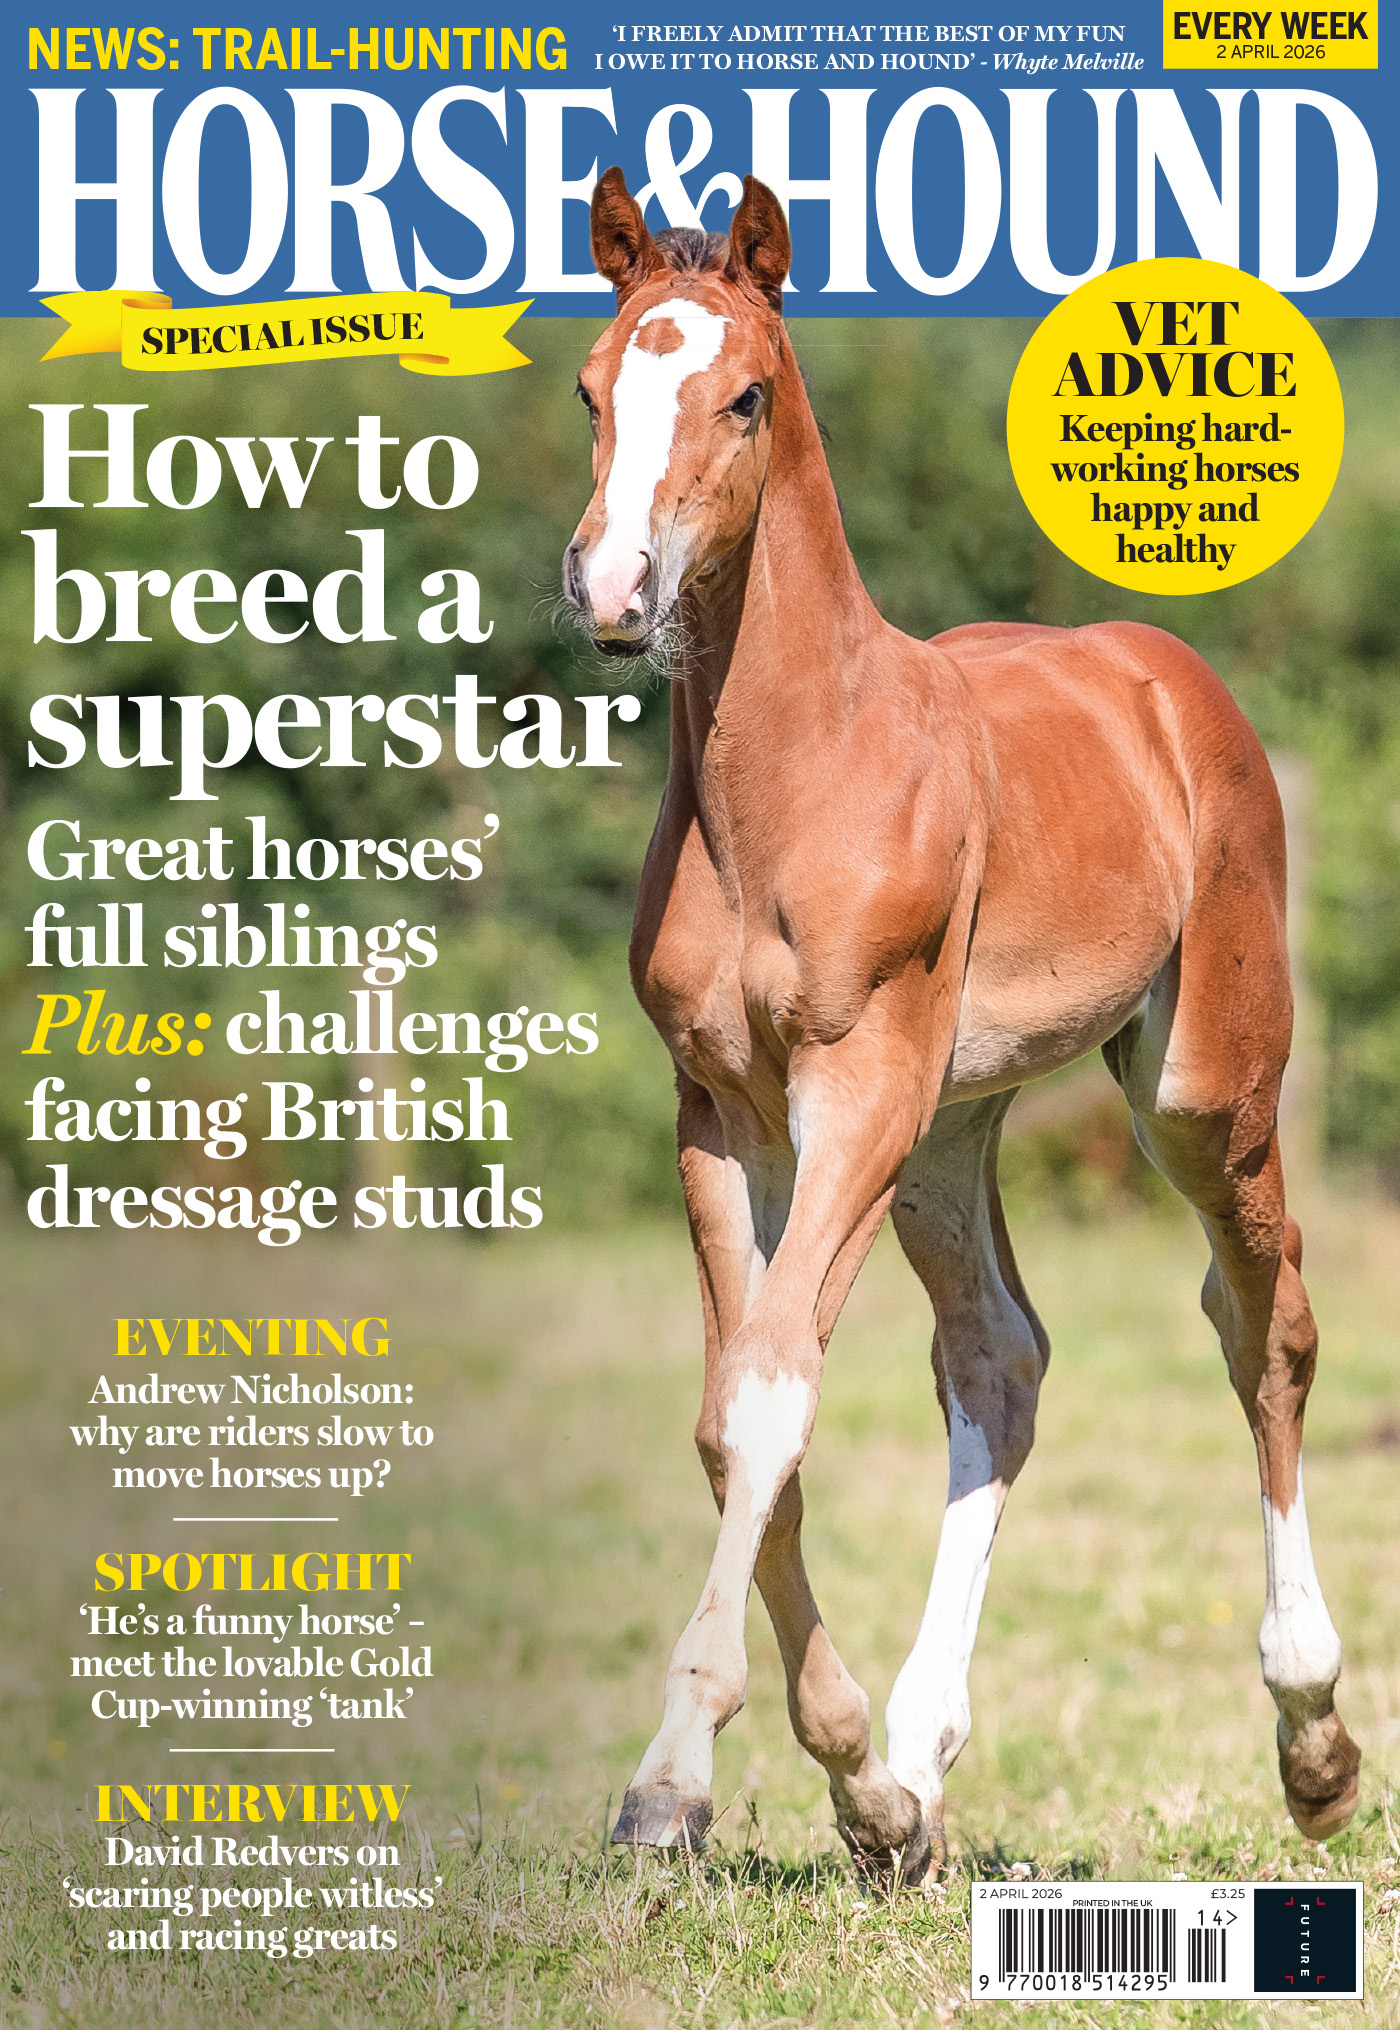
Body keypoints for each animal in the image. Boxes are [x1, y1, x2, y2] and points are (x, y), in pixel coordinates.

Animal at [560, 167, 1360, 1883]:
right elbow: (735, 1415)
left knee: (1265, 1322)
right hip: (948, 1128)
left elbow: (772, 1393)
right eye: (594, 391)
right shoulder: (720, 1112)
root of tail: (1161, 671)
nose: (611, 592)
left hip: (1198, 1092)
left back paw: (1315, 1736)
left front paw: (670, 1784)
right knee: (1001, 1355)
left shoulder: (852, 1090)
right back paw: (921, 1761)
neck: (794, 776)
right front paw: (863, 1787)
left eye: (745, 395)